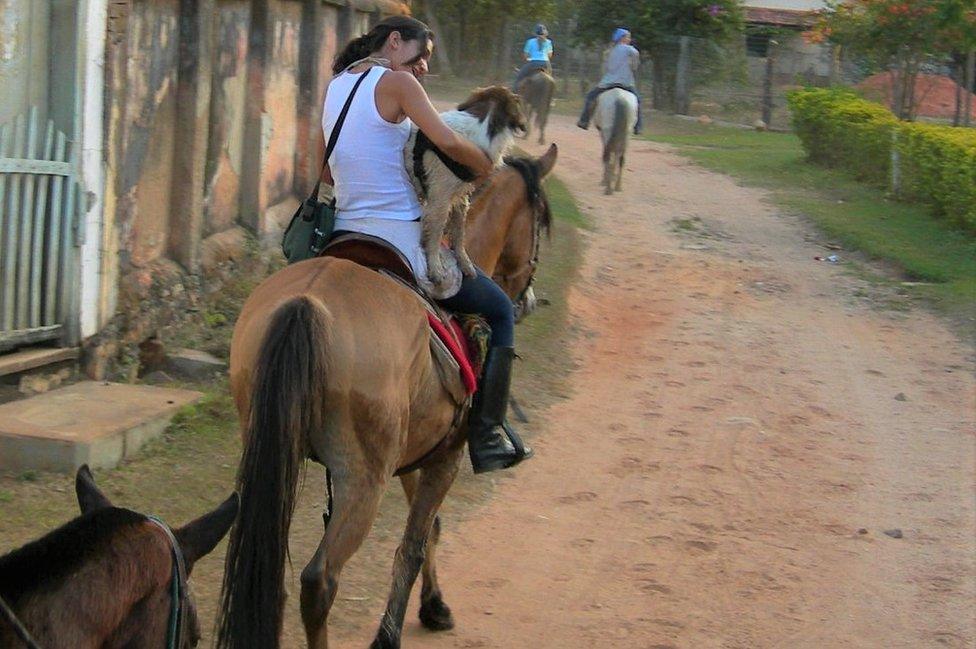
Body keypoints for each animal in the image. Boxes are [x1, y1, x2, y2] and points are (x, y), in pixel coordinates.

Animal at [218, 144, 560, 648]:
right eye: (540, 221)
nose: (529, 300)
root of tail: (306, 304)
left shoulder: (419, 448)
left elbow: (431, 528)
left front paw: (434, 605)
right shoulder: (445, 456)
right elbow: (413, 544)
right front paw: (392, 632)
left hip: (273, 450)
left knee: (269, 574)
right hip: (363, 478)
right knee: (319, 580)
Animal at [404, 85, 528, 292]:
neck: (482, 123)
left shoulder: (460, 197)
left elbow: (459, 233)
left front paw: (464, 262)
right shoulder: (440, 199)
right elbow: (436, 234)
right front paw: (435, 267)